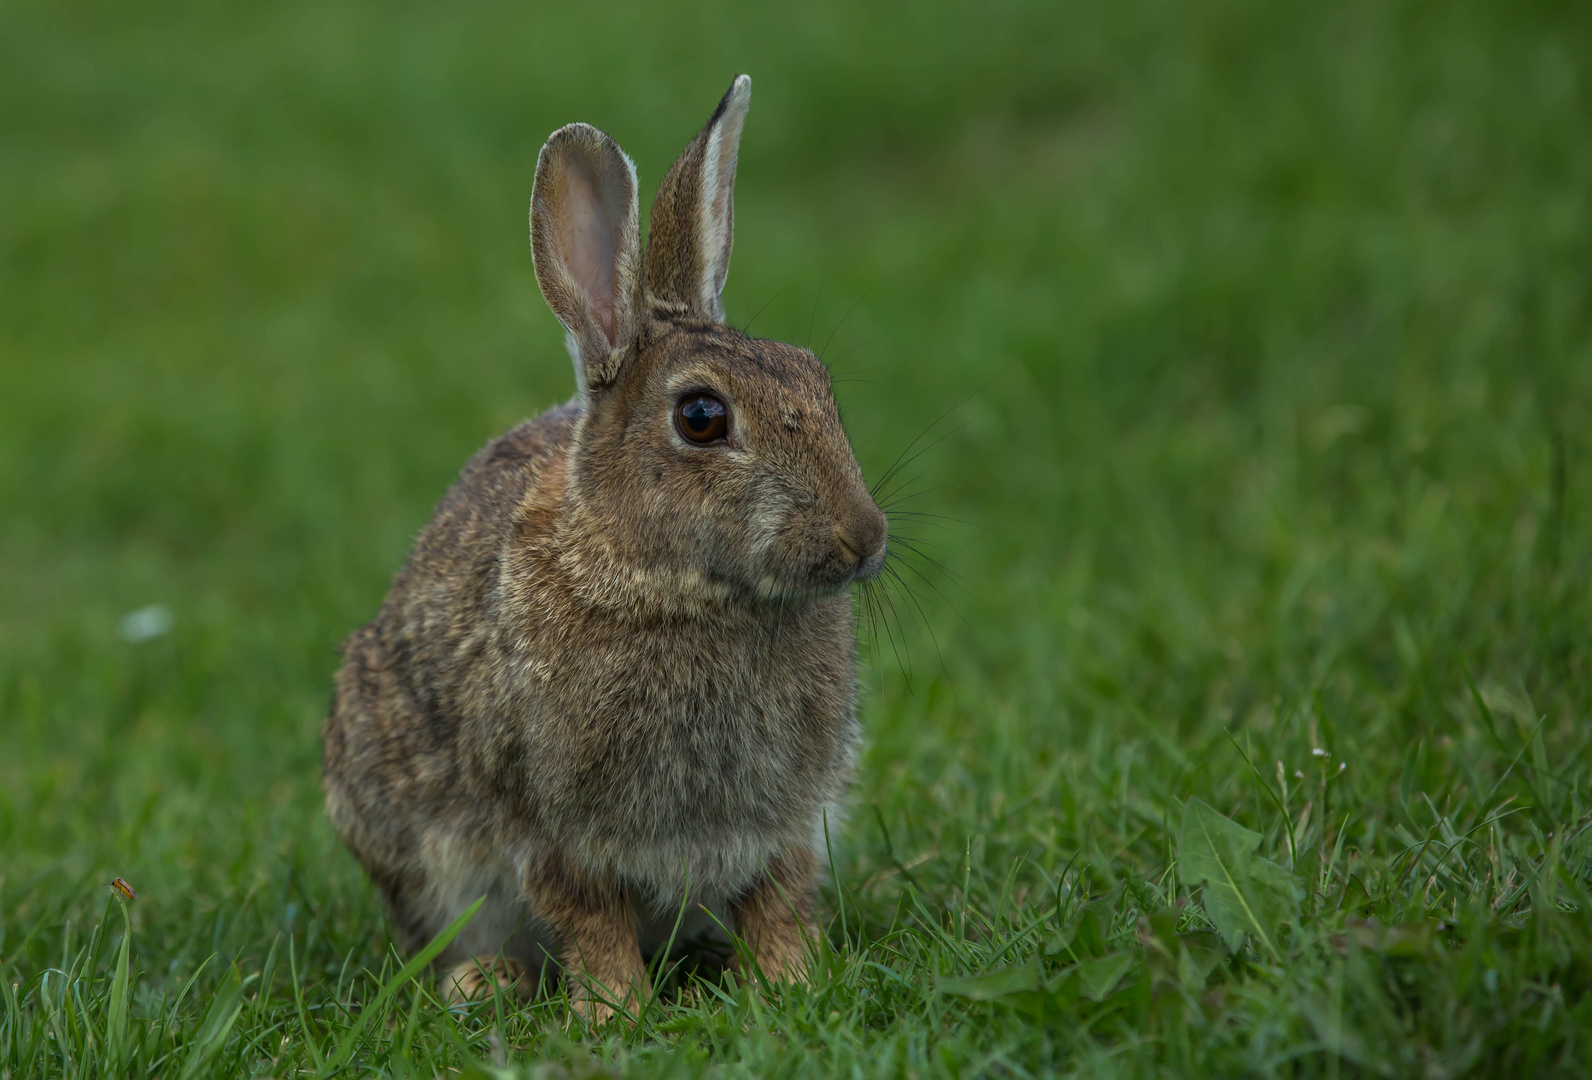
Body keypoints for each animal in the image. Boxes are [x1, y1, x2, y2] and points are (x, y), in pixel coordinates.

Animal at [319, 74, 885, 1025]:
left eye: (817, 377)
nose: (865, 537)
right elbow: (592, 924)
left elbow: (777, 901)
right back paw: (484, 983)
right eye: (702, 418)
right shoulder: (553, 830)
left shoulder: (786, 822)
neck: (674, 586)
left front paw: (792, 985)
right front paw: (616, 1014)